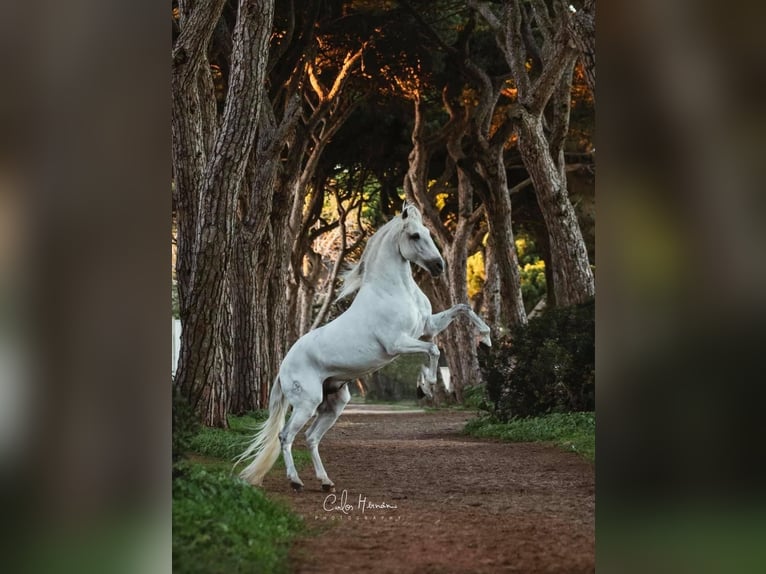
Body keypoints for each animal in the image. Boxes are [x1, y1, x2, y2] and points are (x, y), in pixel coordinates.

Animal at [237, 202, 496, 490]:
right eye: (415, 235)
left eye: (428, 232)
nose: (439, 266)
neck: (394, 291)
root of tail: (283, 368)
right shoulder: (398, 344)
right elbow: (434, 351)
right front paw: (427, 387)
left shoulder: (428, 327)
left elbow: (463, 308)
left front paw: (486, 339)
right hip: (307, 404)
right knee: (285, 436)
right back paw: (295, 481)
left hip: (334, 404)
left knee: (312, 437)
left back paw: (325, 481)